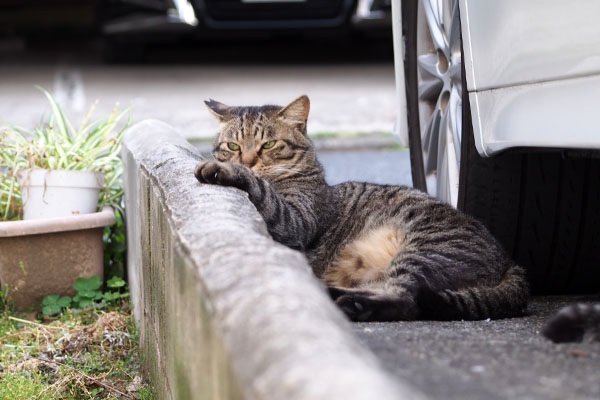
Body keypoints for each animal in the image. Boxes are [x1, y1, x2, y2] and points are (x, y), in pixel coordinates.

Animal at [195, 94, 528, 322]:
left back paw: (351, 304)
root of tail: (510, 261)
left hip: (423, 250)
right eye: (234, 146)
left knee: (408, 300)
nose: (248, 161)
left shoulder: (296, 221)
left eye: (268, 145)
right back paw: (333, 294)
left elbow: (263, 192)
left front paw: (227, 171)